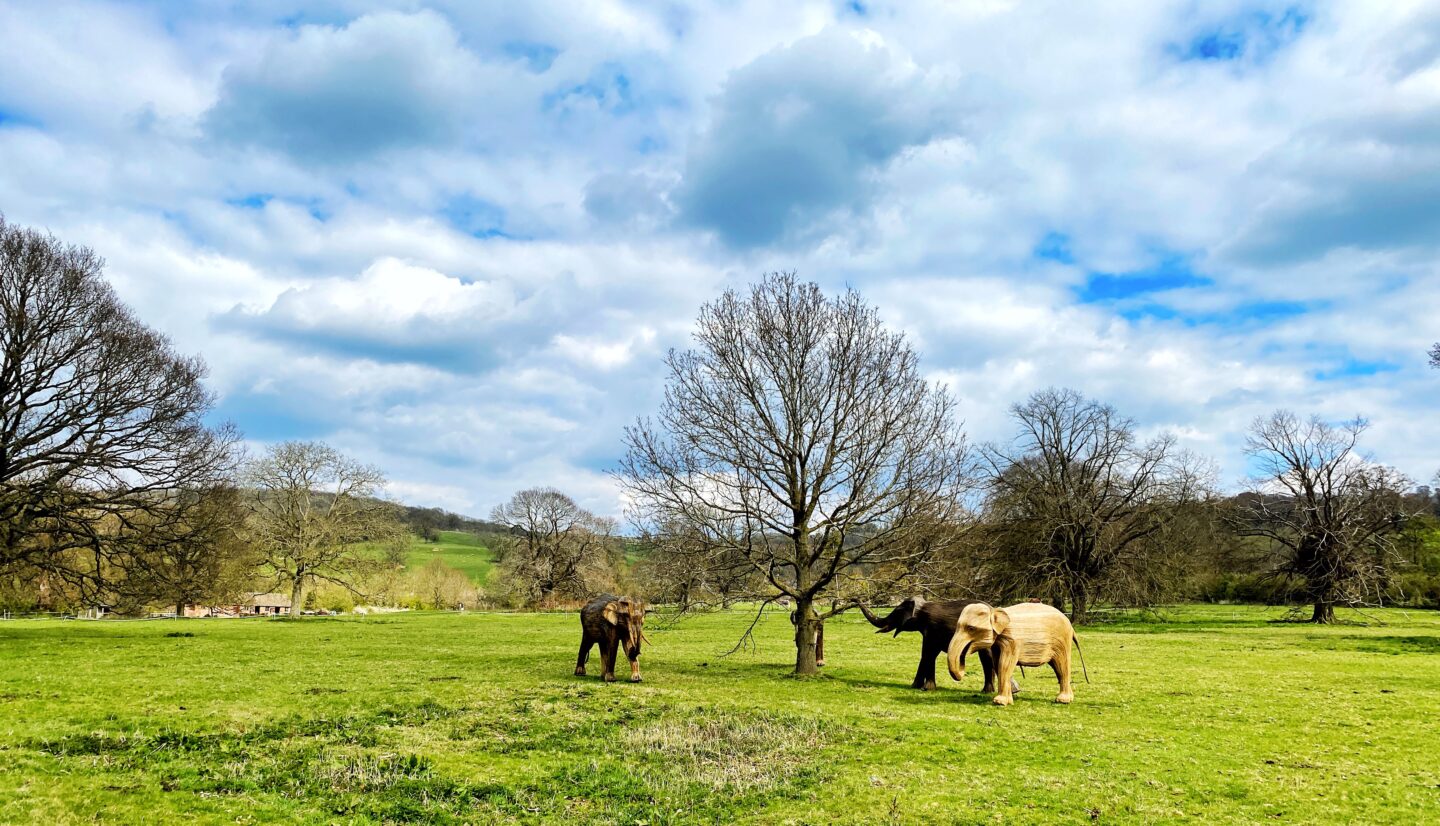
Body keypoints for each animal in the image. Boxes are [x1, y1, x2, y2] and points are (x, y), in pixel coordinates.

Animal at [858, 597, 1010, 693]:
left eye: (896, 612)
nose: (854, 599)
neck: (924, 606)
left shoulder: (932, 630)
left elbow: (928, 654)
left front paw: (926, 688)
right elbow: (927, 655)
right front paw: (914, 686)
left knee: (986, 658)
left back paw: (986, 691)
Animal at [946, 602, 1086, 706]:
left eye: (971, 628)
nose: (962, 671)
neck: (994, 610)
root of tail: (1070, 625)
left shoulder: (1012, 640)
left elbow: (1004, 664)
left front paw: (999, 702)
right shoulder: (998, 643)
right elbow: (997, 664)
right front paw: (1008, 701)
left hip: (1061, 641)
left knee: (1062, 666)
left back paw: (1063, 700)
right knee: (1059, 668)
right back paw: (1068, 699)